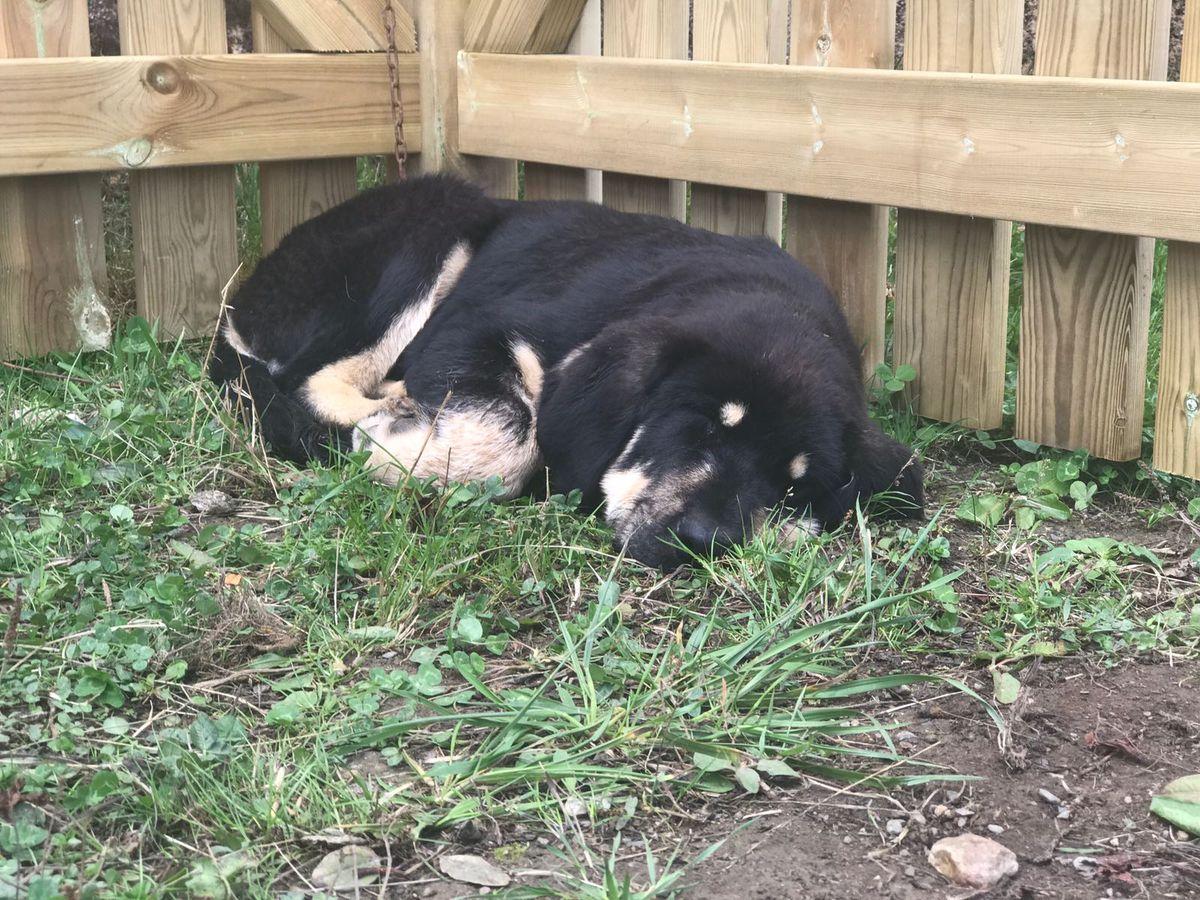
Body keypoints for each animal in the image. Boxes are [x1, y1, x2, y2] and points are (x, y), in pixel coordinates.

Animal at [211, 175, 921, 566]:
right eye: (699, 430)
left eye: (796, 487)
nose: (703, 541)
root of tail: (243, 297)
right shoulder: (473, 326)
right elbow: (514, 435)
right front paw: (396, 451)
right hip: (438, 222)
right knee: (309, 382)